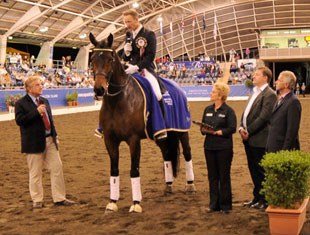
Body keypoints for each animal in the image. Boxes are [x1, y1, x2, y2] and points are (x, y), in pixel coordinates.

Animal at [88, 32, 195, 214]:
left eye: (110, 59)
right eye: (93, 58)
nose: (99, 90)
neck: (118, 100)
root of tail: (179, 89)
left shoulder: (133, 140)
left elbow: (134, 170)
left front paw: (136, 203)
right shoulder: (110, 140)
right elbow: (114, 170)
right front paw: (112, 202)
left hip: (182, 131)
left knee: (187, 154)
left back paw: (190, 185)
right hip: (162, 135)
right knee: (167, 154)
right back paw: (168, 186)